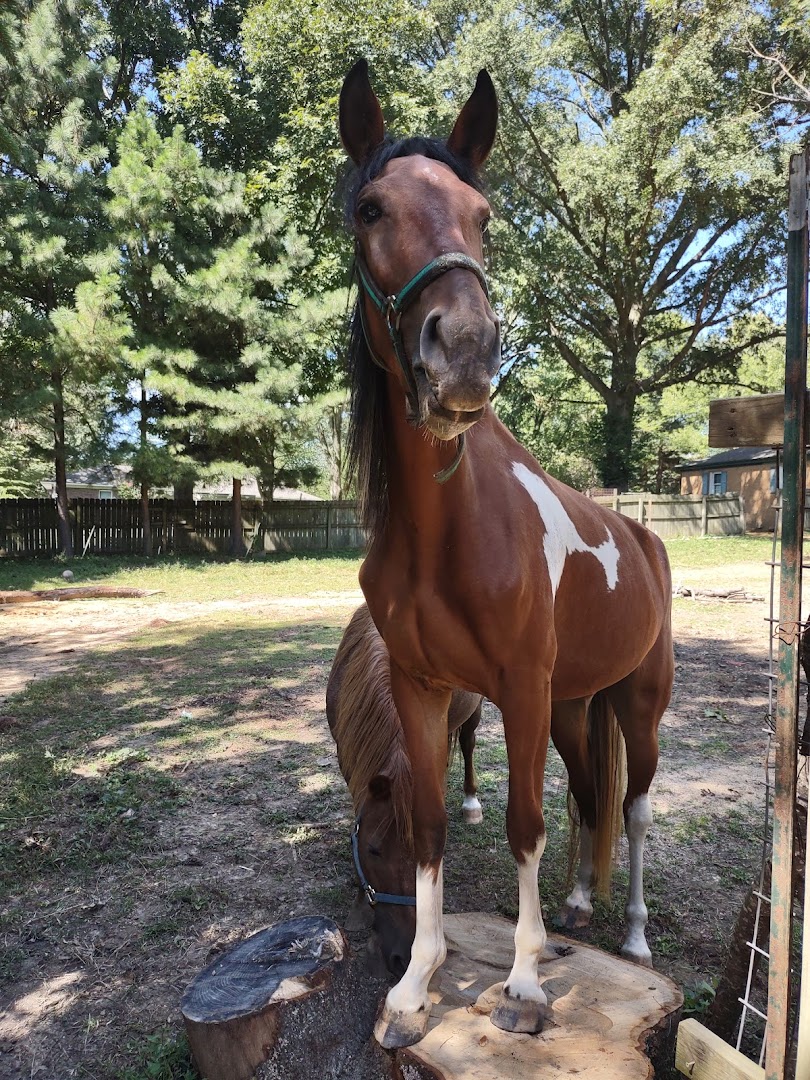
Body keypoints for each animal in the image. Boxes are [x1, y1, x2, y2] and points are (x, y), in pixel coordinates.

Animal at [339, 56, 673, 1045]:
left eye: (483, 215)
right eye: (369, 207)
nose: (465, 351)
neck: (450, 535)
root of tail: (645, 538)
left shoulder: (518, 687)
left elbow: (524, 822)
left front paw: (523, 986)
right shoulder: (424, 689)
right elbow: (437, 823)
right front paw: (415, 989)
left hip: (637, 704)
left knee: (634, 808)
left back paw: (632, 933)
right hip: (573, 706)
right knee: (590, 794)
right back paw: (576, 908)